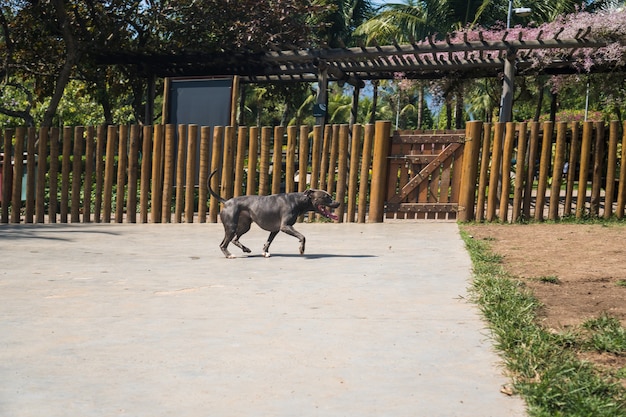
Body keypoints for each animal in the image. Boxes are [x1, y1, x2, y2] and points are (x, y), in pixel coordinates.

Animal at [207, 169, 338, 256]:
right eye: (326, 197)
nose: (338, 203)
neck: (298, 200)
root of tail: (227, 202)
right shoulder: (285, 226)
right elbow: (302, 236)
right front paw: (301, 249)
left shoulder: (275, 230)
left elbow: (268, 242)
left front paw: (265, 252)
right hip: (231, 227)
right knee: (224, 244)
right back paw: (229, 255)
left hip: (244, 226)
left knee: (234, 239)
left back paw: (246, 249)